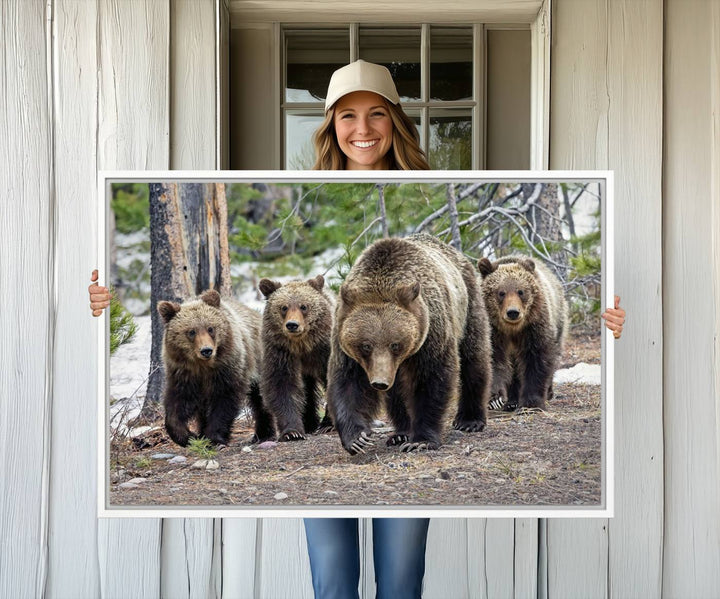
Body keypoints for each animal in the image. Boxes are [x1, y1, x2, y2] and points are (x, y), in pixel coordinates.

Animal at [158, 288, 272, 448]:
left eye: (210, 328)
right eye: (191, 331)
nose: (206, 350)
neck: (203, 366)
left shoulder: (227, 368)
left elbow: (224, 400)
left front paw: (214, 437)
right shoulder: (183, 373)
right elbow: (177, 403)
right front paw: (188, 436)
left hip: (259, 360)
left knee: (261, 398)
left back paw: (263, 433)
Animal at [258, 276, 334, 440]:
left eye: (303, 306)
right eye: (284, 307)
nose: (292, 325)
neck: (303, 346)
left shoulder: (325, 350)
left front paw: (328, 424)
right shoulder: (281, 352)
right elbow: (282, 386)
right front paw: (292, 432)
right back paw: (309, 423)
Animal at [324, 234, 490, 454]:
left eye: (395, 344)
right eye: (366, 345)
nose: (379, 382)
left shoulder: (431, 331)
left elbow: (431, 379)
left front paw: (421, 440)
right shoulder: (344, 340)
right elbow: (348, 383)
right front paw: (357, 438)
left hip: (467, 305)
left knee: (474, 357)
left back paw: (470, 420)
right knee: (397, 392)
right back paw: (400, 433)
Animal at [478, 255, 568, 410]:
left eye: (521, 291)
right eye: (501, 292)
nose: (513, 312)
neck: (512, 329)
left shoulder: (534, 327)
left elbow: (536, 359)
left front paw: (532, 403)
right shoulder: (493, 332)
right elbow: (493, 360)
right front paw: (494, 399)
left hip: (558, 319)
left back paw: (548, 392)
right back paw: (512, 401)